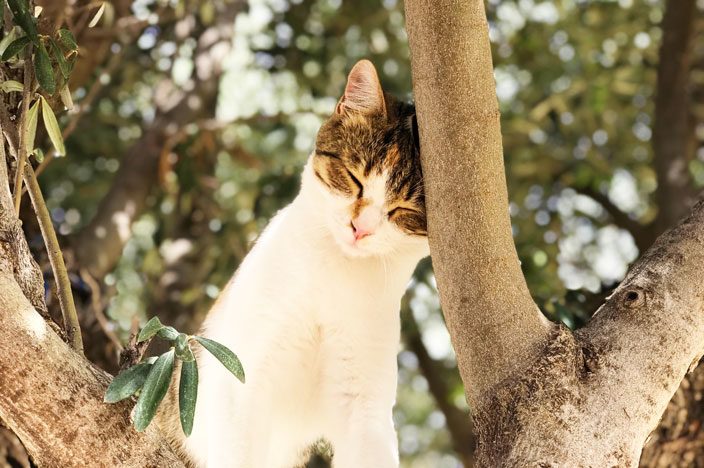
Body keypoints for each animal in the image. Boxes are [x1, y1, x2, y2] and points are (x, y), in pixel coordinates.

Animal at [160, 59, 428, 468]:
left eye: (404, 211)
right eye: (354, 178)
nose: (360, 229)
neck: (334, 271)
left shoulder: (365, 405)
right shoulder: (242, 375)